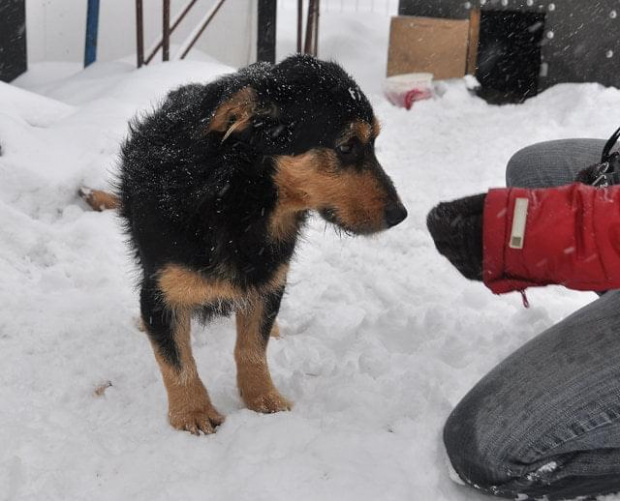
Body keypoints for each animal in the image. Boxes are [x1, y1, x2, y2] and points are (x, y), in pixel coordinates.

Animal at [115, 54, 406, 434]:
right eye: (346, 147)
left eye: (373, 143)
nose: (401, 215)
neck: (237, 200)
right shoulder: (162, 291)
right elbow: (176, 360)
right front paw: (192, 412)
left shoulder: (269, 281)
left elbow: (252, 346)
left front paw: (262, 398)